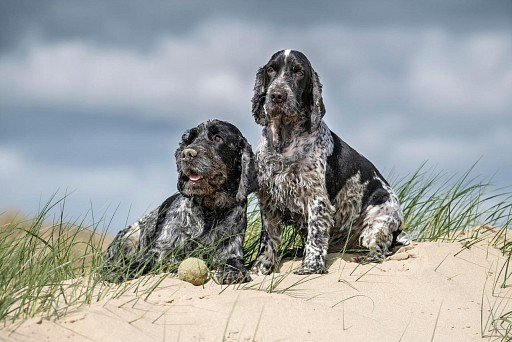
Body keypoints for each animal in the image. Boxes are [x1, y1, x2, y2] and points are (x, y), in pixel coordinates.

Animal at [103, 119, 256, 284]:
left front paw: (234, 273)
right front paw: (120, 273)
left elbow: (234, 262)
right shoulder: (159, 250)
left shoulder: (232, 249)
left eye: (217, 138)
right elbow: (140, 263)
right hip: (130, 236)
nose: (187, 153)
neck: (210, 210)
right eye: (190, 140)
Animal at [251, 50, 408, 276]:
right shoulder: (269, 199)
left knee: (380, 250)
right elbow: (268, 239)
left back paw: (366, 257)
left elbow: (316, 236)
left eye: (299, 72)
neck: (284, 142)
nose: (277, 95)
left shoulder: (316, 199)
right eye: (271, 69)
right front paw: (261, 267)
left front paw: (311, 267)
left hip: (378, 223)